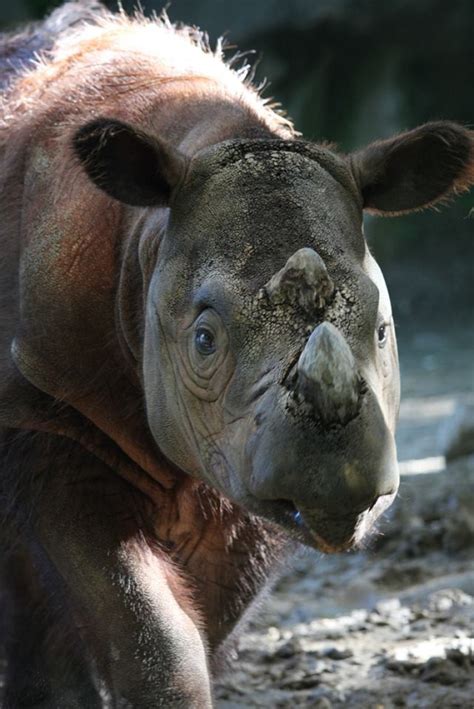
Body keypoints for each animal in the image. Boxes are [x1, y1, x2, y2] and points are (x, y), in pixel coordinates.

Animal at [0, 2, 473, 707]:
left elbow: (203, 615)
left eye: (386, 333)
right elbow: (139, 620)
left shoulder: (251, 458)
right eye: (203, 339)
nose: (340, 483)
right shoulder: (48, 404)